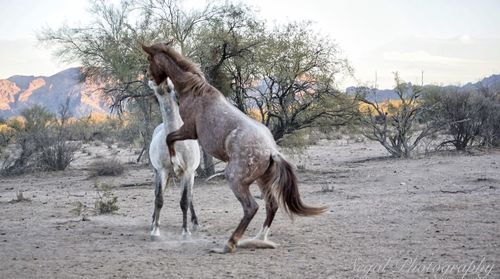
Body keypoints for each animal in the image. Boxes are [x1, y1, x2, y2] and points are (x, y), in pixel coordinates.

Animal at [148, 79, 201, 241]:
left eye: (172, 87)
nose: (162, 84)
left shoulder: (188, 172)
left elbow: (184, 200)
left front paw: (185, 232)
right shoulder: (162, 171)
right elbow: (159, 199)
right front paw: (155, 231)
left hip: (190, 175)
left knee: (190, 196)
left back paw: (195, 223)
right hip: (159, 173)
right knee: (157, 193)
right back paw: (153, 221)